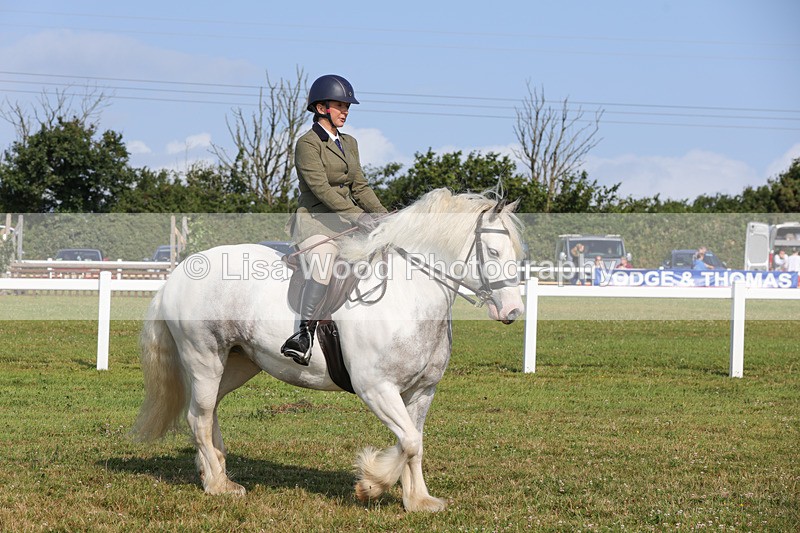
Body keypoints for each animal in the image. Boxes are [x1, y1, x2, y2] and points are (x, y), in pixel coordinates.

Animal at [132, 188, 525, 512]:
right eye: (492, 251)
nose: (513, 312)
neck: (409, 295)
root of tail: (178, 273)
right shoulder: (376, 389)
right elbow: (410, 442)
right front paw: (372, 485)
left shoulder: (421, 391)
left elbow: (413, 443)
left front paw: (418, 500)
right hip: (204, 358)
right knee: (198, 416)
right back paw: (218, 485)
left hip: (238, 363)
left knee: (208, 409)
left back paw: (216, 472)